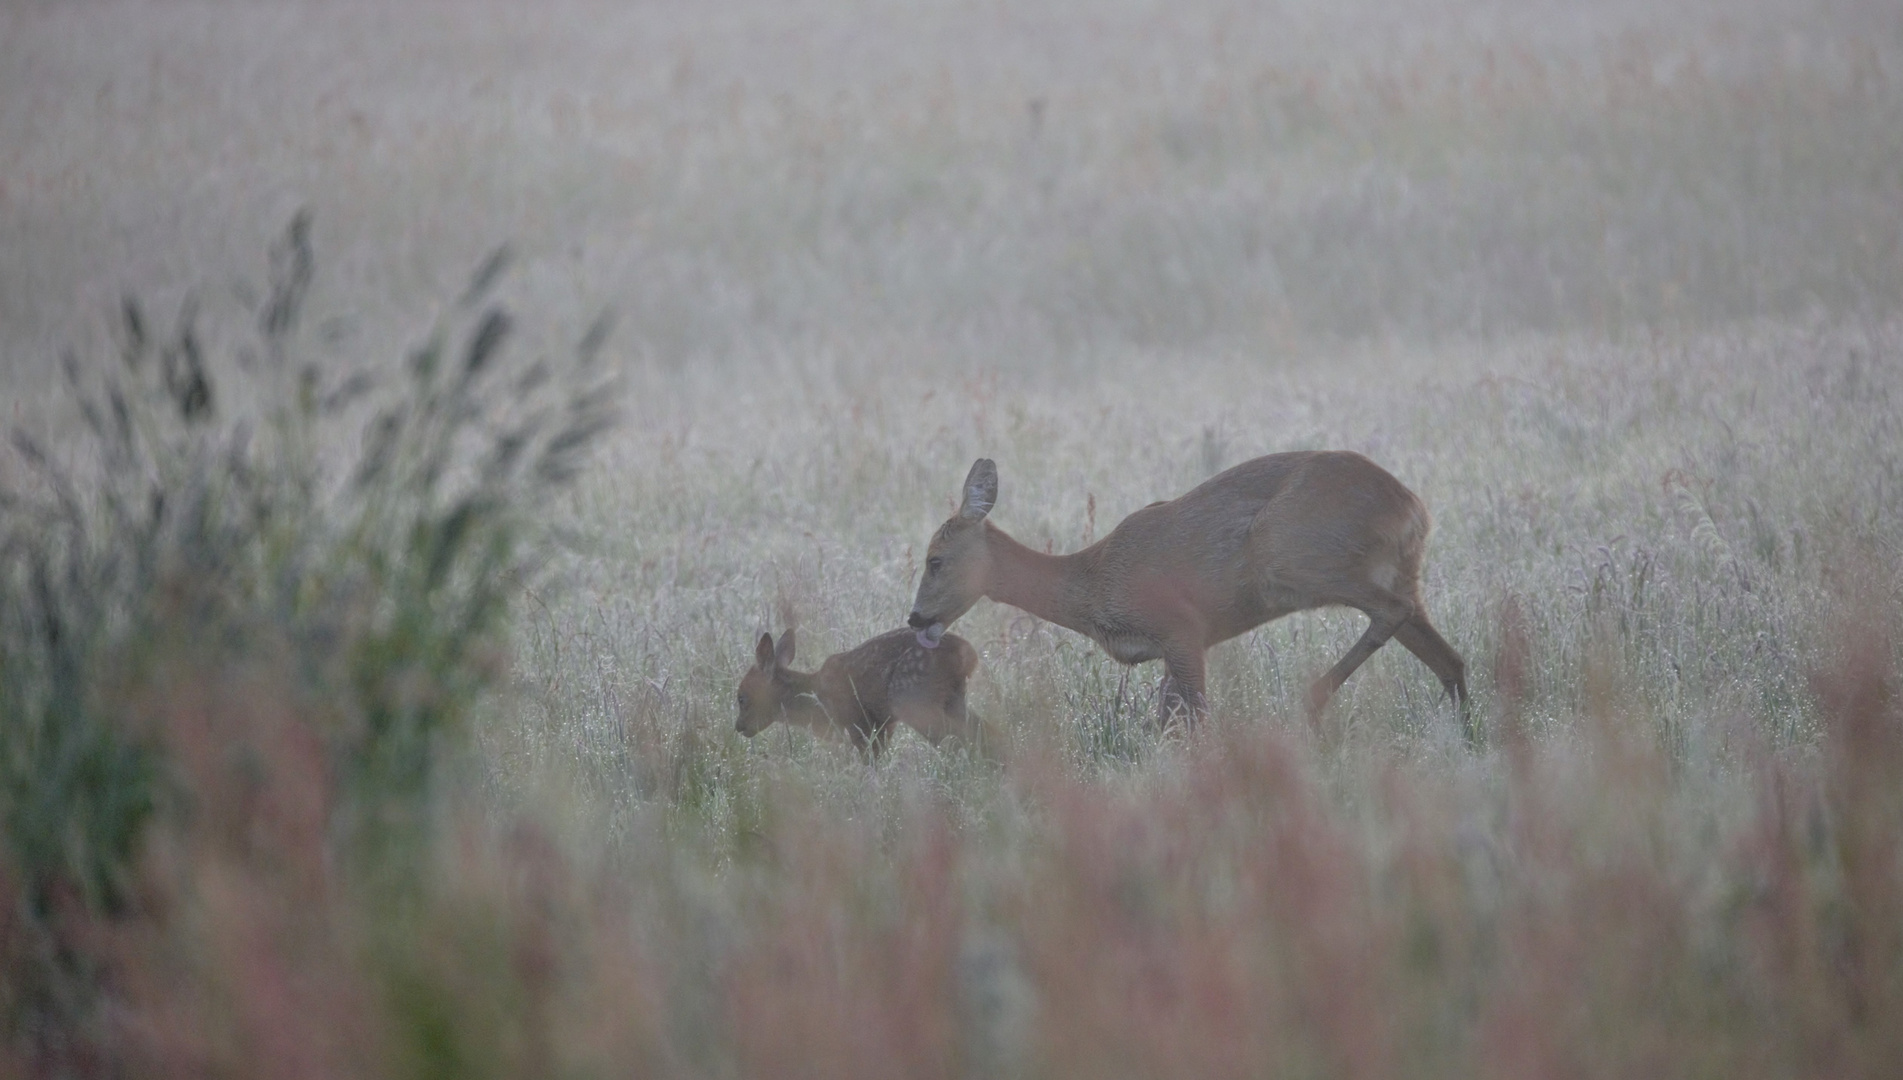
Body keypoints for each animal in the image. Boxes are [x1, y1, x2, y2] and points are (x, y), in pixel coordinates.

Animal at [730, 623, 997, 760]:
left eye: (742, 697)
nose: (739, 726)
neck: (816, 698)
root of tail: (969, 655)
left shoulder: (858, 720)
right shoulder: (884, 724)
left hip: (913, 698)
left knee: (957, 740)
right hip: (952, 698)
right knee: (986, 732)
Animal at [905, 450, 1469, 730]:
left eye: (934, 560)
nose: (915, 619)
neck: (1091, 582)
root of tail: (1414, 508)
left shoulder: (1181, 627)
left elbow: (1196, 719)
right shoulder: (1170, 650)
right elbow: (1168, 722)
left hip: (1298, 554)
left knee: (1392, 613)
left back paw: (1311, 700)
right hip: (1397, 572)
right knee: (1450, 660)